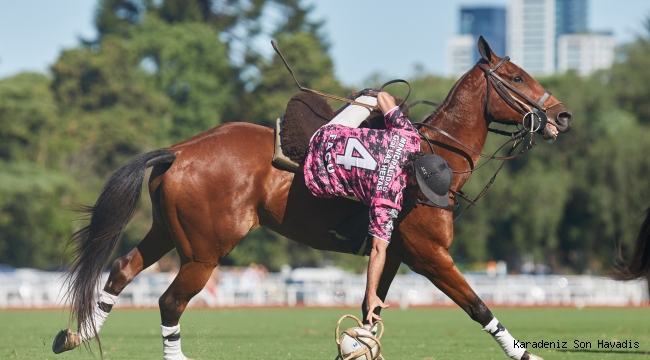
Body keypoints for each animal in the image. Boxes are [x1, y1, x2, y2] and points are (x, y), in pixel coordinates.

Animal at [57, 38, 572, 358]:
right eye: (517, 77)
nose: (563, 117)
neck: (432, 154)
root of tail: (179, 150)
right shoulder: (428, 253)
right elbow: (478, 306)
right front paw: (526, 356)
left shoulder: (392, 253)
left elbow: (369, 314)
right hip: (206, 250)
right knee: (169, 301)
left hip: (168, 230)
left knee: (122, 269)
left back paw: (76, 335)